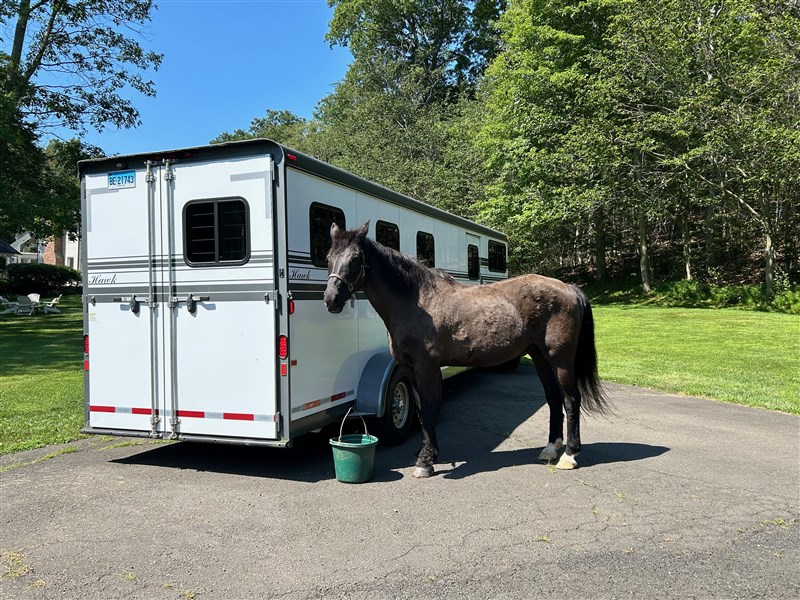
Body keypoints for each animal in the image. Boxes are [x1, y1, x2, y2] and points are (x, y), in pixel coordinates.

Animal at [322, 221, 608, 478]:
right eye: (328, 257)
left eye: (355, 258)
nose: (331, 299)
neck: (415, 301)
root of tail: (570, 288)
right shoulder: (411, 369)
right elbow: (421, 410)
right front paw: (425, 453)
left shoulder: (426, 366)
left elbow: (428, 409)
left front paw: (426, 462)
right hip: (540, 357)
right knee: (554, 398)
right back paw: (550, 449)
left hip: (560, 359)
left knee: (571, 399)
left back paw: (569, 456)